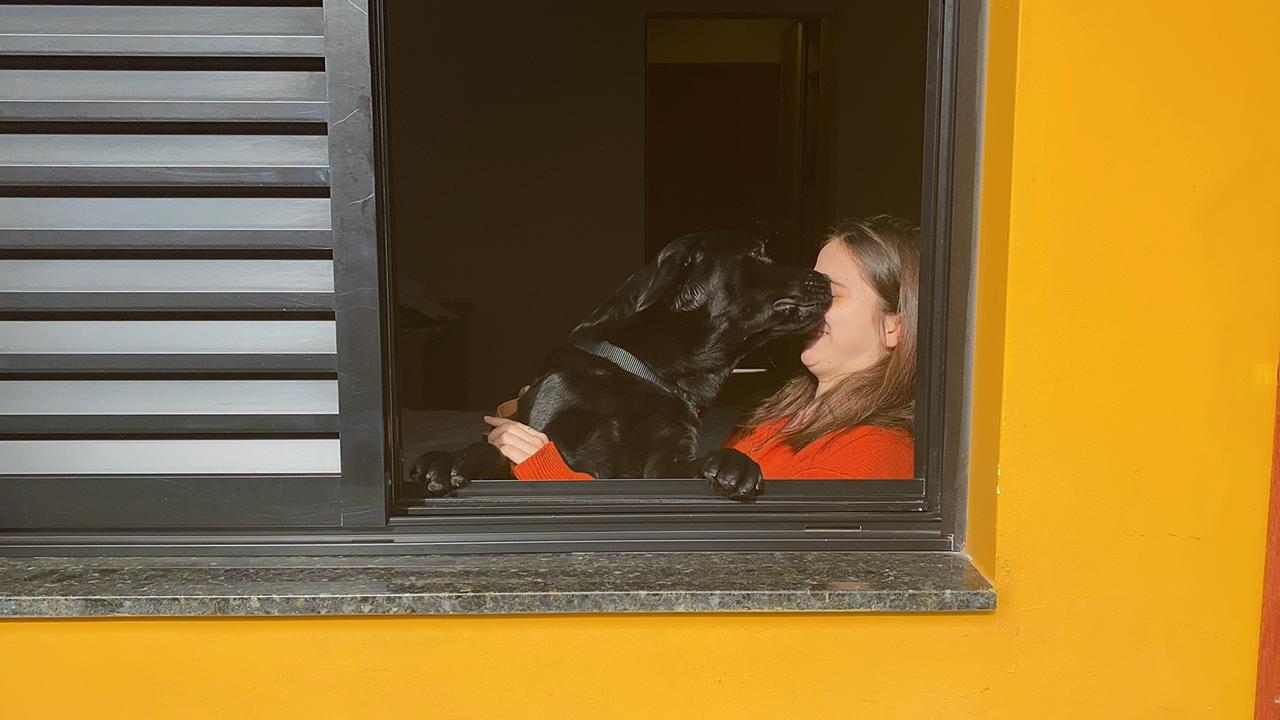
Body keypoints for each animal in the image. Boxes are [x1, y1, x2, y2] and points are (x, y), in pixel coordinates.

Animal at [404, 229, 834, 499]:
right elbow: (499, 453)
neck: (636, 373)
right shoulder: (536, 428)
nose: (828, 279)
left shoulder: (666, 461)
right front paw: (450, 461)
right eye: (760, 256)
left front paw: (733, 462)